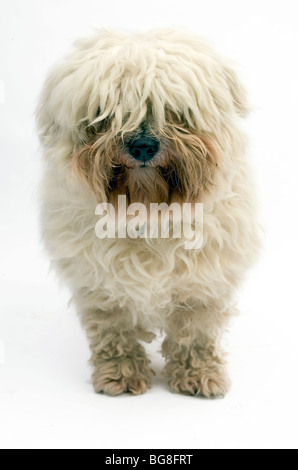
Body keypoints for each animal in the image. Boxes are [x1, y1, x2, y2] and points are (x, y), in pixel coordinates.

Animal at [36, 28, 258, 396]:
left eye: (175, 111)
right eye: (104, 114)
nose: (142, 146)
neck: (148, 210)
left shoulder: (204, 282)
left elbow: (195, 333)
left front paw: (199, 374)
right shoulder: (101, 284)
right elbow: (114, 331)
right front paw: (120, 373)